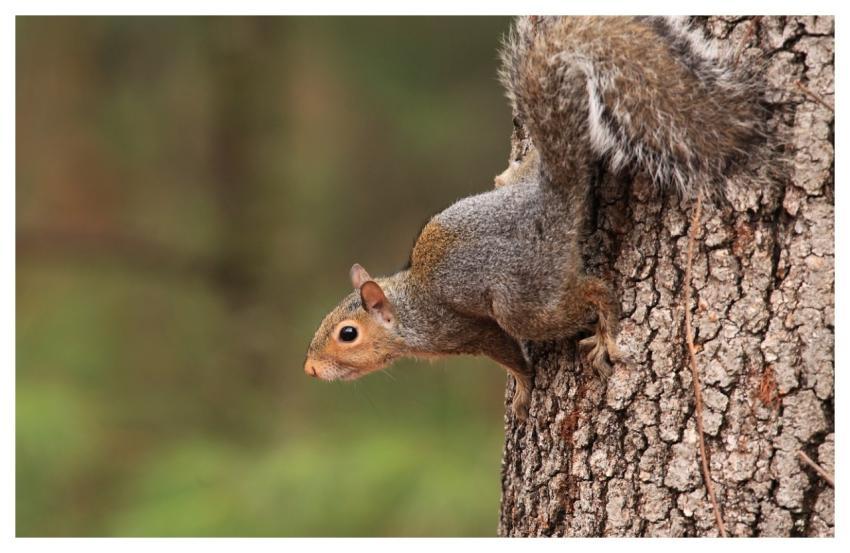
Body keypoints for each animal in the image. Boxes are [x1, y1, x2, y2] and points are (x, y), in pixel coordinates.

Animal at [304, 16, 767, 420]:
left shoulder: (462, 329)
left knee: (594, 290)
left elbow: (512, 358)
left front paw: (524, 391)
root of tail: (549, 199)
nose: (309, 369)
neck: (408, 305)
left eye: (348, 333)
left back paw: (606, 329)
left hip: (524, 297)